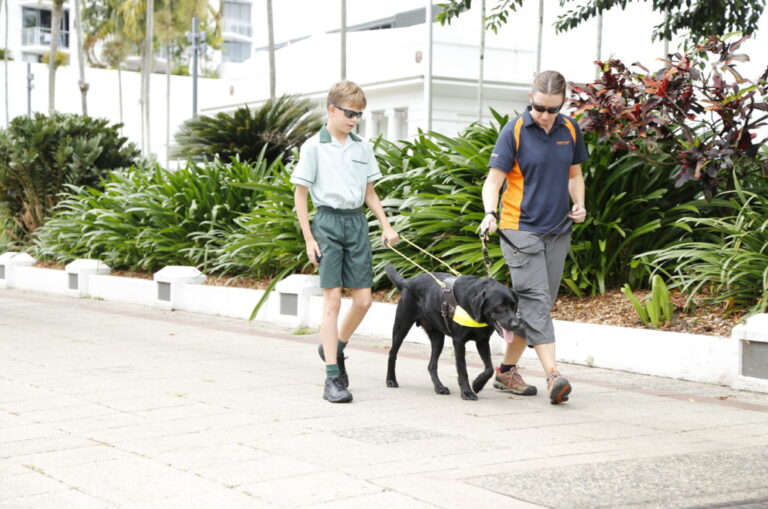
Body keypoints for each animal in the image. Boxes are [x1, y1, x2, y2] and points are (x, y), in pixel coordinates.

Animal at [384, 264, 520, 398]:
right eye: (500, 307)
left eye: (514, 306)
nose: (516, 325)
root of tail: (407, 283)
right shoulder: (458, 342)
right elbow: (462, 369)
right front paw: (467, 392)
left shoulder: (482, 341)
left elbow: (489, 368)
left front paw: (477, 384)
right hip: (401, 327)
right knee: (392, 353)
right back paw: (391, 380)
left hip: (438, 338)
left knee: (431, 366)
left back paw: (439, 387)